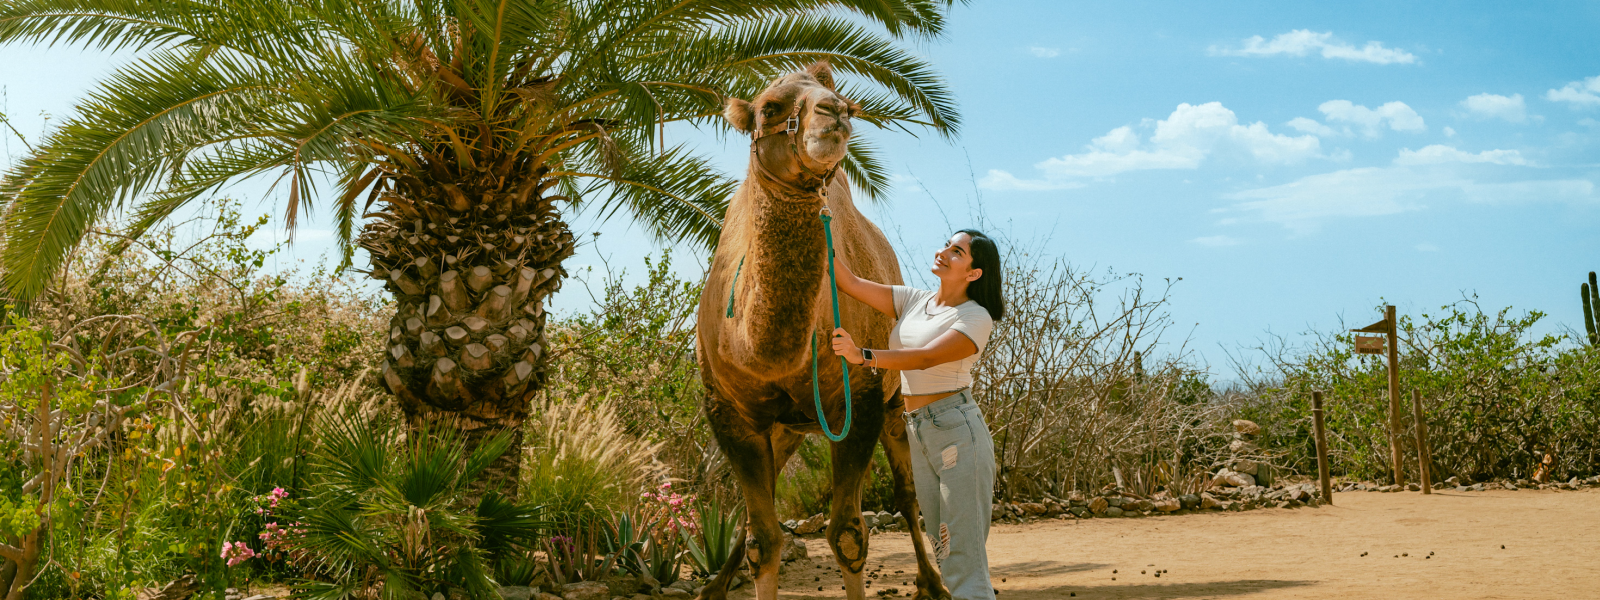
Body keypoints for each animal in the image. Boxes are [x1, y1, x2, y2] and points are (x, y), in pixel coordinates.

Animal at [697, 60, 947, 600]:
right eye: (770, 107)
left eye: (845, 101)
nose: (835, 113)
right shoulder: (729, 411)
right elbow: (762, 541)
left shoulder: (861, 399)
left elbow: (848, 535)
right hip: (788, 426)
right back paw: (714, 586)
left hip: (893, 402)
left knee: (907, 491)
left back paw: (932, 582)